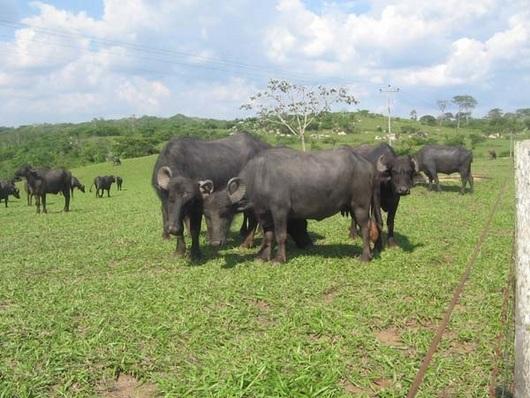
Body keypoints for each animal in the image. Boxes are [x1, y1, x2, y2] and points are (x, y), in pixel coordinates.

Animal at [151, 132, 270, 260]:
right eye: (170, 198)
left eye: (189, 200)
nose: (172, 229)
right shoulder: (167, 206)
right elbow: (177, 223)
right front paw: (179, 251)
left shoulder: (197, 208)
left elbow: (195, 229)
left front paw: (196, 253)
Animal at [200, 148, 378, 262]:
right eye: (206, 215)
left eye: (225, 213)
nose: (215, 243)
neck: (260, 177)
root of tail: (367, 165)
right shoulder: (265, 214)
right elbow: (268, 235)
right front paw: (263, 257)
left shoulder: (280, 211)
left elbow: (280, 235)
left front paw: (279, 259)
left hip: (360, 205)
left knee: (366, 227)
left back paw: (364, 257)